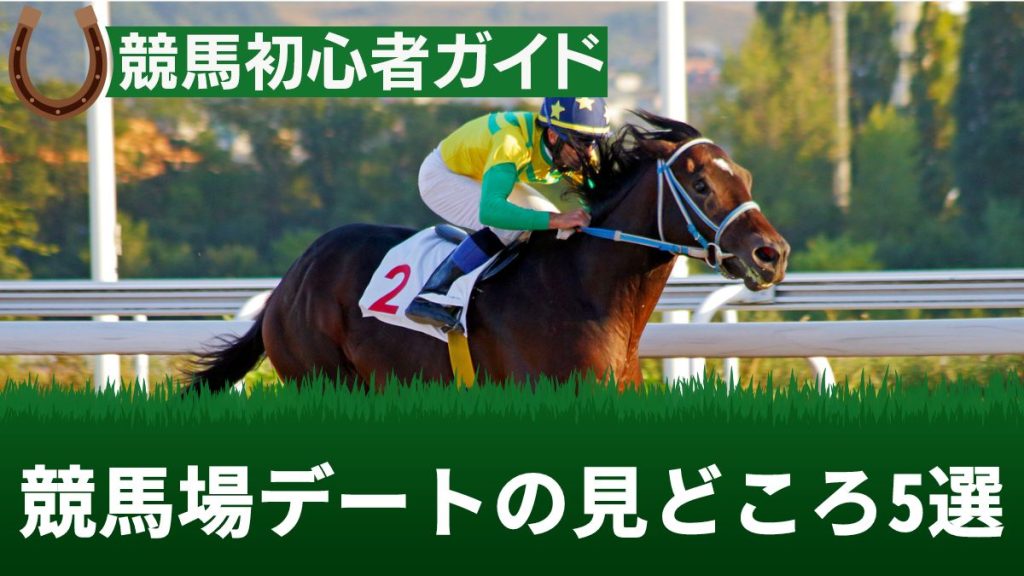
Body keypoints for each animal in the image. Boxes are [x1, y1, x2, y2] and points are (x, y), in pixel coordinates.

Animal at [189, 111, 789, 392]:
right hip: (323, 377)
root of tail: (292, 277)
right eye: (701, 185)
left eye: (746, 177)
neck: (585, 296)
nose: (773, 254)